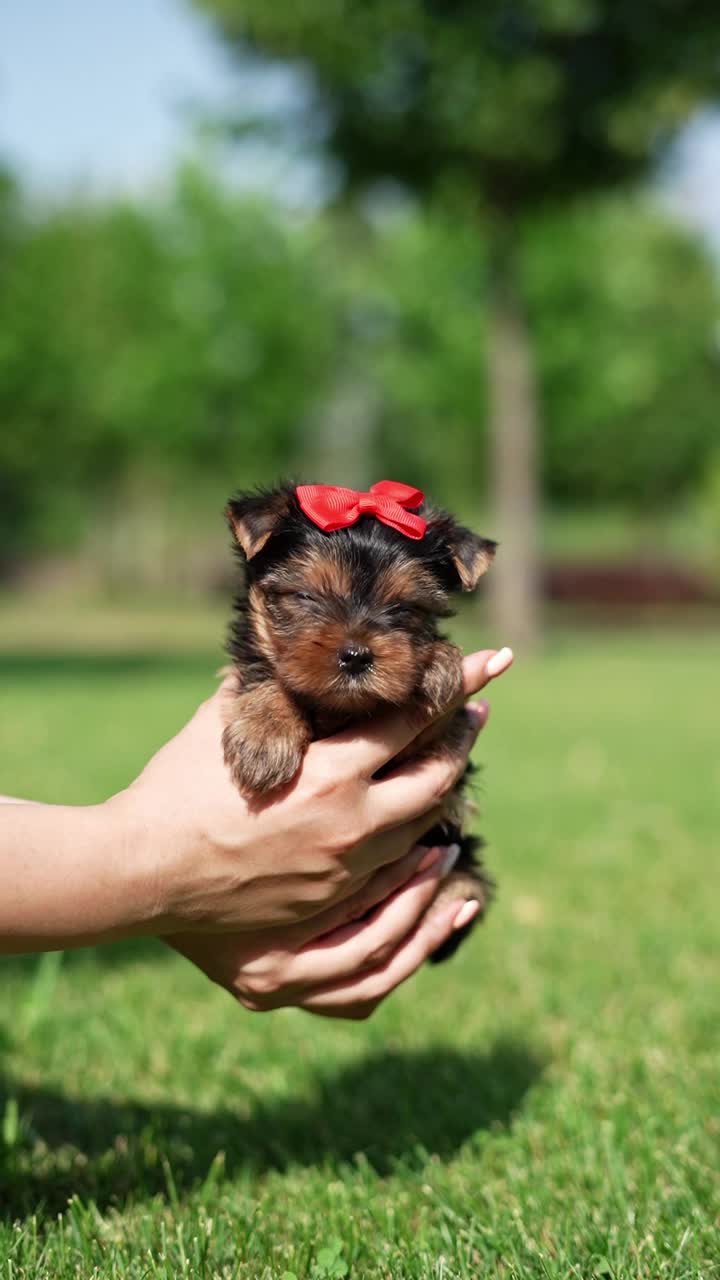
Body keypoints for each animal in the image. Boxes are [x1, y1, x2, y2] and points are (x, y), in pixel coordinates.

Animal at [221, 481, 497, 962]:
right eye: (307, 597)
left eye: (404, 607)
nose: (355, 655)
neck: (340, 709)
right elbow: (266, 674)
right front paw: (265, 734)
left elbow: (438, 724)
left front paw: (437, 663)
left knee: (468, 884)